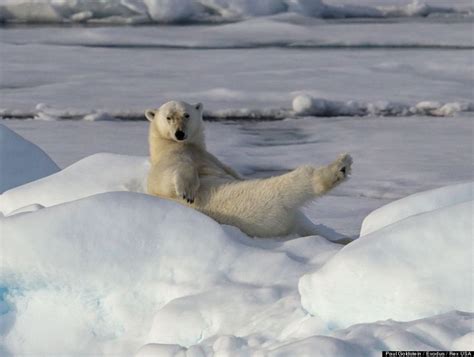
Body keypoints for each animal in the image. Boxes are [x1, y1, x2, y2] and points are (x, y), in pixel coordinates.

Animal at [144, 101, 352, 239]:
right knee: (291, 185)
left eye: (186, 115)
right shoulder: (169, 161)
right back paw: (340, 167)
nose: (180, 133)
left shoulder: (211, 158)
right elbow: (172, 175)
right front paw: (187, 192)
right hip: (261, 203)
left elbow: (230, 169)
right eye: (168, 117)